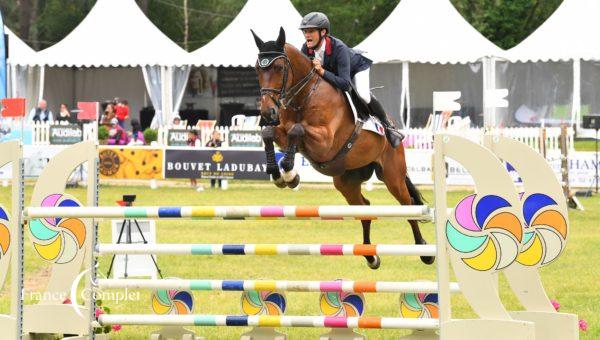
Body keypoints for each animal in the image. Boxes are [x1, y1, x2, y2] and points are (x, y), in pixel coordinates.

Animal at [251, 28, 434, 268]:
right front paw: (279, 173)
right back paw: (370, 255)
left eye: (279, 68)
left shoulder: (325, 142)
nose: (267, 112)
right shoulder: (284, 133)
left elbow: (296, 130)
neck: (305, 95)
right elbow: (270, 133)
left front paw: (289, 173)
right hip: (346, 181)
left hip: (393, 175)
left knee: (408, 205)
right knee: (364, 207)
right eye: (257, 68)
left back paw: (425, 251)